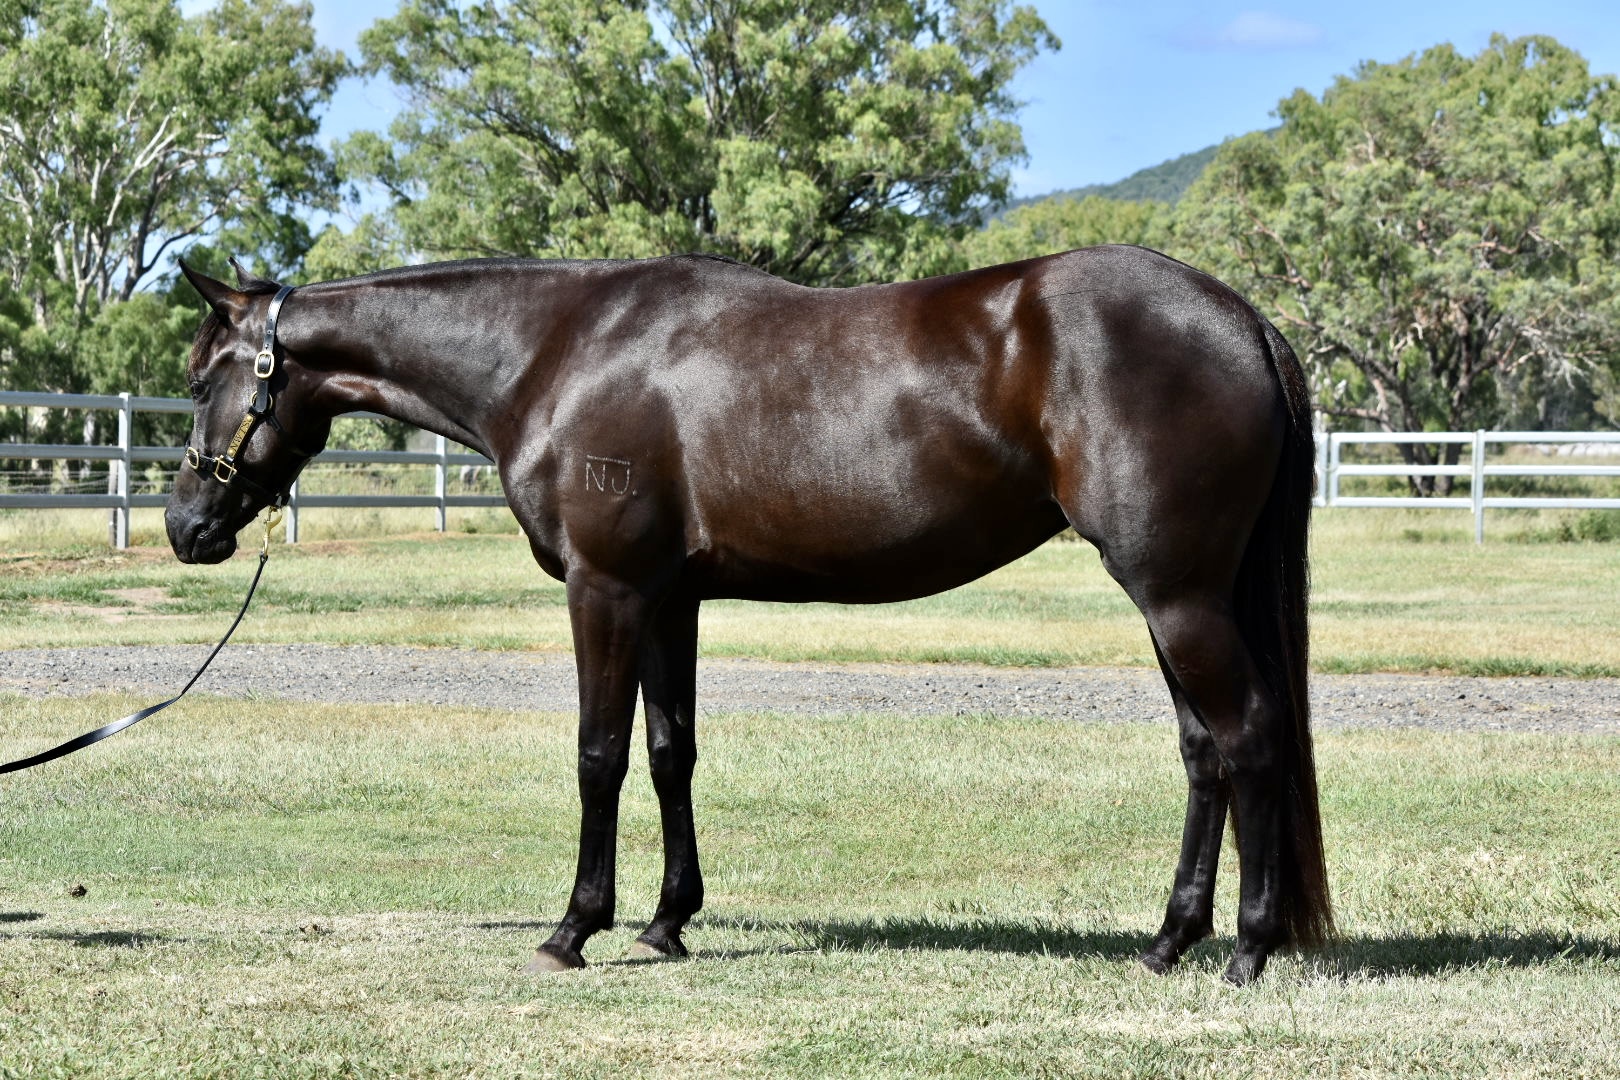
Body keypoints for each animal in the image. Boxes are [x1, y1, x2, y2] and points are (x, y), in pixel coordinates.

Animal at [167, 245, 1331, 985]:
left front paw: (574, 929)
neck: (556, 351)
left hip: (1176, 594)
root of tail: (1240, 317)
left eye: (206, 376)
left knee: (1249, 737)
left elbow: (599, 754)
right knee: (1204, 753)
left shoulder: (606, 589)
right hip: (1181, 598)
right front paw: (666, 924)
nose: (186, 524)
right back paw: (1169, 942)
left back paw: (1247, 951)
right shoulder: (667, 597)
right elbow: (670, 750)